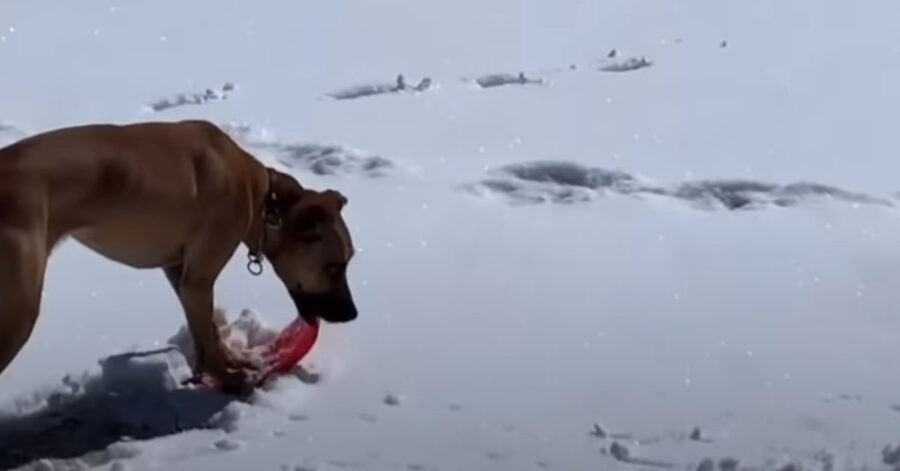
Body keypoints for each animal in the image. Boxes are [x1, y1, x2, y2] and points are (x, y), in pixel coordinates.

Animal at [0, 120, 358, 392]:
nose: (353, 314)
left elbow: (210, 331)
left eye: (349, 260)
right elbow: (207, 337)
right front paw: (231, 379)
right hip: (19, 313)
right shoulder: (198, 280)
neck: (264, 200)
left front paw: (233, 361)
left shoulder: (179, 272)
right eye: (333, 267)